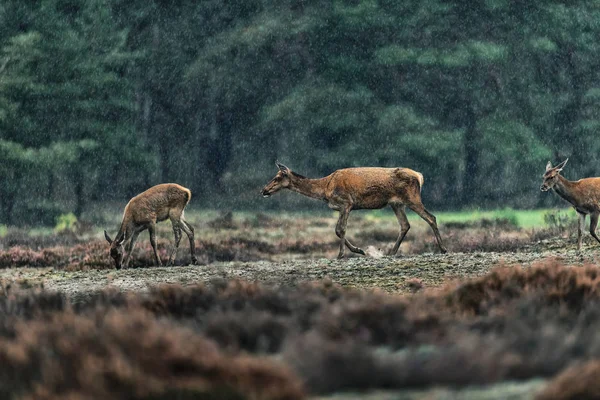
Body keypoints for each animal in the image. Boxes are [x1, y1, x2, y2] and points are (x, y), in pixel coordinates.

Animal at [260, 162, 448, 260]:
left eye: (277, 177)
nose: (264, 190)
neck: (325, 189)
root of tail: (419, 176)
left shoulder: (346, 203)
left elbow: (340, 229)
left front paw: (342, 254)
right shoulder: (342, 207)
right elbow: (337, 230)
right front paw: (360, 250)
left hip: (412, 198)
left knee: (431, 217)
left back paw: (443, 248)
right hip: (396, 203)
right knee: (405, 225)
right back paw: (391, 252)